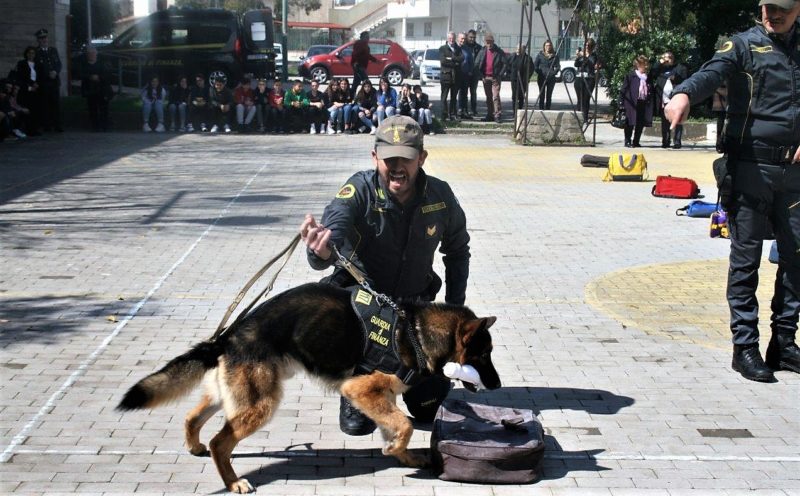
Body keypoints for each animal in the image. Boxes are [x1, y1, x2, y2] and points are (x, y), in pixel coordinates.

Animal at [117, 282, 500, 492]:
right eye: (484, 355)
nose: (497, 385)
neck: (415, 332)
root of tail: (230, 336)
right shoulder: (360, 390)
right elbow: (404, 424)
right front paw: (395, 451)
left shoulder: (381, 397)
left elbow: (395, 427)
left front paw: (401, 454)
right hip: (261, 404)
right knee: (219, 442)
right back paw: (232, 481)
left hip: (231, 397)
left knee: (192, 417)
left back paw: (195, 446)